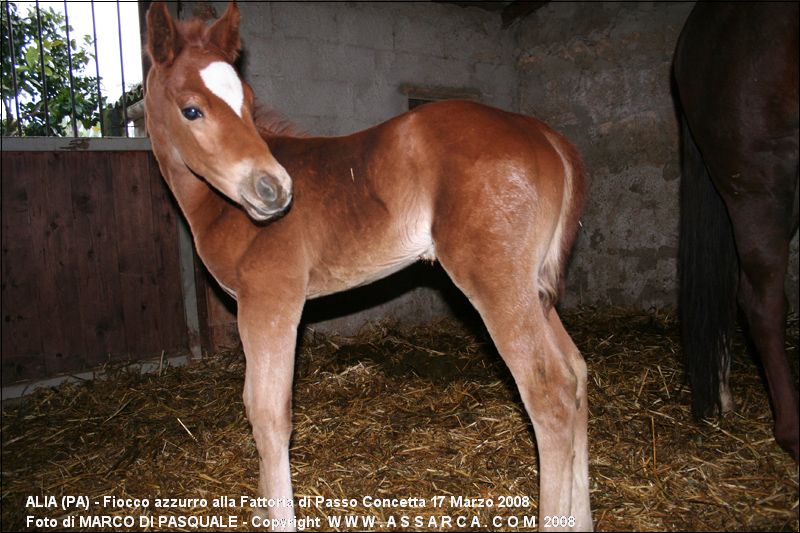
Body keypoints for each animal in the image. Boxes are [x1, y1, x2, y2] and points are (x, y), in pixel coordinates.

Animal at [145, 3, 592, 528]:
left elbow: (269, 414)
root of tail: (543, 133)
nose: (274, 188)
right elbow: (253, 402)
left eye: (247, 101)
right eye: (191, 109)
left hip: (498, 285)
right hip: (534, 289)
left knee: (550, 392)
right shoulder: (249, 309)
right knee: (577, 372)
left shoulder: (272, 302)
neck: (220, 206)